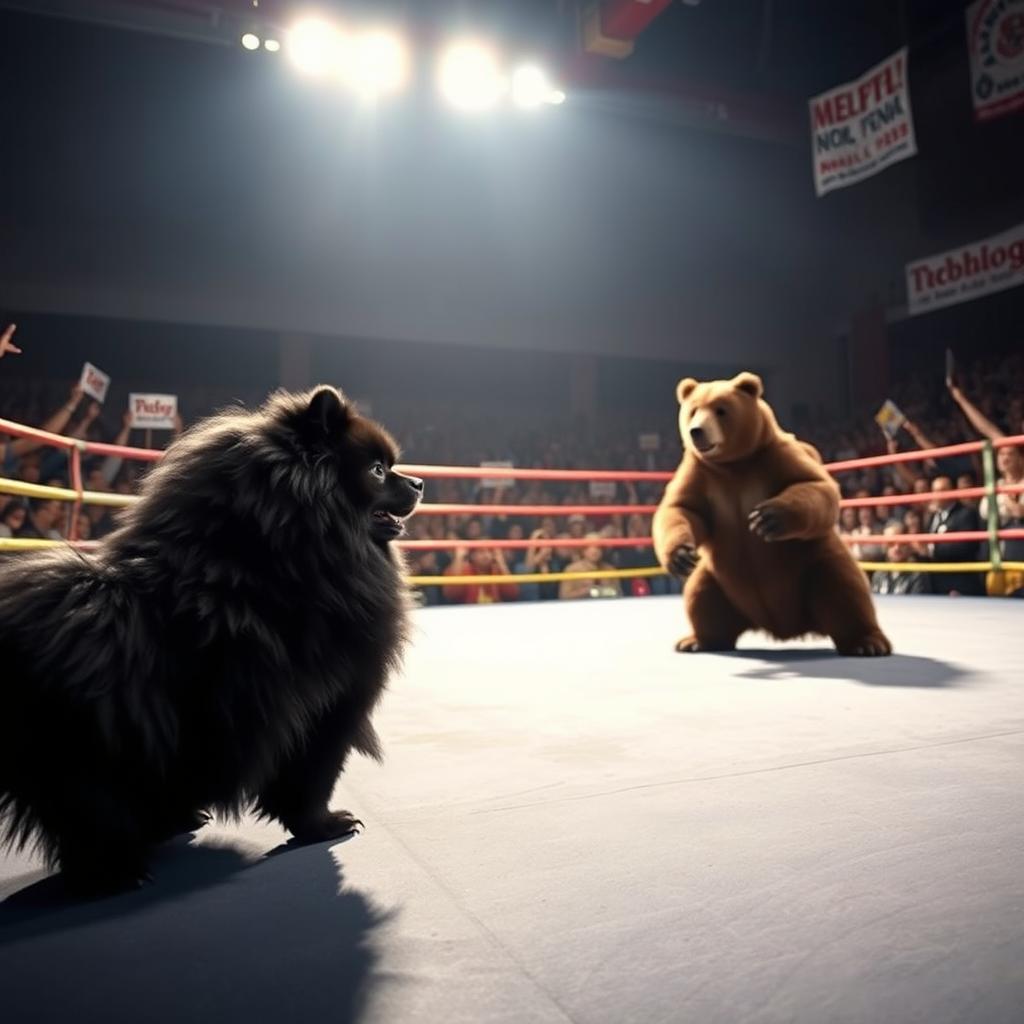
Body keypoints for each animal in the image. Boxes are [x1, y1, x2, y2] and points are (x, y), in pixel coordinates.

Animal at [0, 387, 419, 892]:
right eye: (377, 470)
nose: (419, 482)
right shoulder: (331, 705)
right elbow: (311, 779)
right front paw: (322, 826)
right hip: (90, 760)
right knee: (94, 817)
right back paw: (118, 872)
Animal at [655, 374, 888, 655]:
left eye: (720, 410)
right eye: (693, 410)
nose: (696, 431)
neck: (733, 466)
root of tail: (784, 627)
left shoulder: (774, 456)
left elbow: (813, 485)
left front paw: (768, 518)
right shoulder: (701, 474)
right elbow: (683, 509)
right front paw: (680, 555)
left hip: (814, 562)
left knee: (844, 590)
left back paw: (868, 642)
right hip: (720, 580)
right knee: (702, 597)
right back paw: (697, 640)